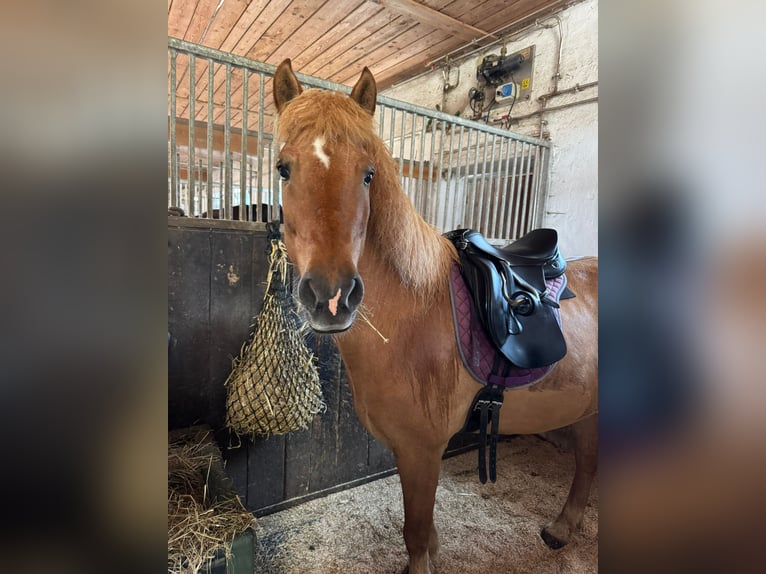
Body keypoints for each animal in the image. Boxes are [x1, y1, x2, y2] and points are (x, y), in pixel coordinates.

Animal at [272, 60, 598, 574]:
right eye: (283, 168)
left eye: (368, 174)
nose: (332, 296)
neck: (413, 313)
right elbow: (423, 532)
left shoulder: (422, 450)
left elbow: (415, 531)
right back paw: (563, 528)